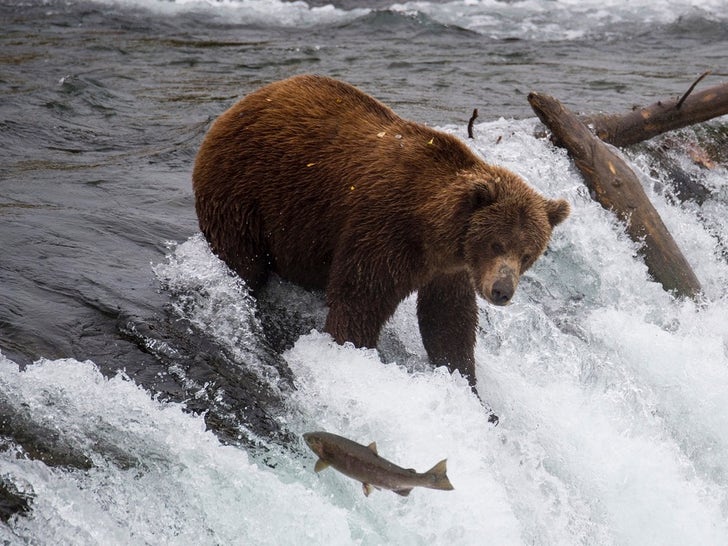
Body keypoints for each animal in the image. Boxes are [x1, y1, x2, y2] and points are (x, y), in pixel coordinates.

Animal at [192, 74, 569, 387]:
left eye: (527, 254)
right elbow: (360, 299)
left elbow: (448, 322)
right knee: (243, 259)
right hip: (245, 190)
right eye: (496, 244)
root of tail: (240, 104)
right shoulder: (385, 230)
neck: (433, 230)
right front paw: (351, 351)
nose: (502, 291)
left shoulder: (449, 269)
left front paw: (465, 380)